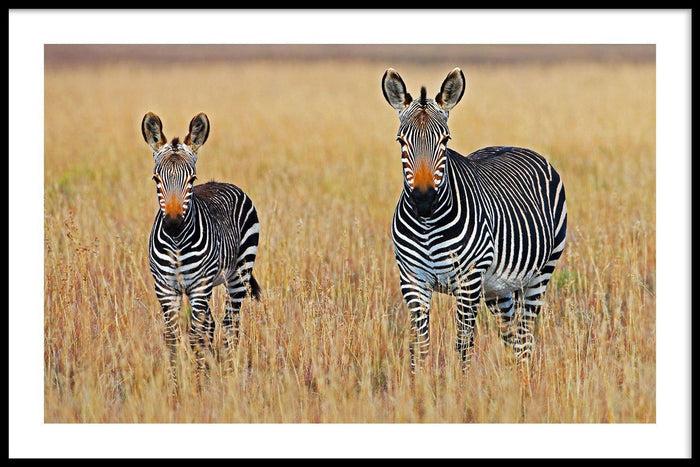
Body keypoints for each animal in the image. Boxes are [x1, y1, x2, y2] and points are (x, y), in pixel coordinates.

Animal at [142, 112, 261, 389]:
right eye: (156, 179)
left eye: (191, 180)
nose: (173, 224)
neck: (176, 243)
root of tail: (222, 183)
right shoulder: (165, 289)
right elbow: (173, 338)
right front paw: (176, 388)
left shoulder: (199, 287)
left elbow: (195, 337)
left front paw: (197, 388)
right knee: (212, 325)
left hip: (238, 274)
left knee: (230, 324)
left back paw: (228, 376)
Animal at [381, 68, 567, 372]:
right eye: (401, 141)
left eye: (445, 140)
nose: (423, 200)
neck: (428, 226)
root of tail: (514, 145)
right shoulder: (412, 280)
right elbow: (419, 347)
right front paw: (417, 384)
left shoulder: (468, 281)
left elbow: (462, 345)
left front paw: (461, 384)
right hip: (498, 289)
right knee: (512, 335)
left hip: (540, 274)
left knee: (525, 337)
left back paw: (524, 381)